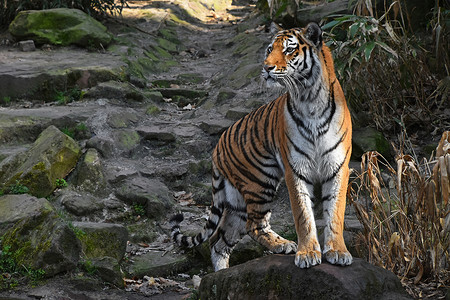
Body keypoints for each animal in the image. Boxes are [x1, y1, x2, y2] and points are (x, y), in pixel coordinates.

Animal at [171, 22, 354, 270]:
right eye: (269, 49)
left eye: (289, 50)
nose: (266, 68)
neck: (309, 98)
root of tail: (217, 147)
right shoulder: (295, 170)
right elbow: (303, 215)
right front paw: (307, 253)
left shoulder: (337, 167)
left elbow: (335, 211)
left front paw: (338, 251)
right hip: (259, 180)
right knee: (252, 225)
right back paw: (284, 245)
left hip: (238, 198)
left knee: (219, 240)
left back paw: (220, 273)